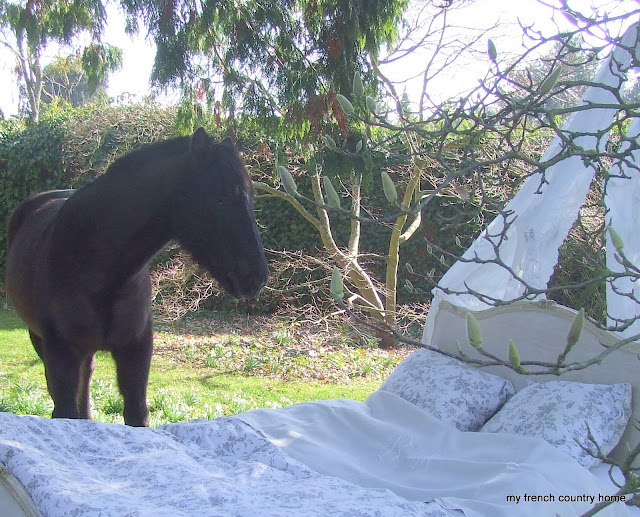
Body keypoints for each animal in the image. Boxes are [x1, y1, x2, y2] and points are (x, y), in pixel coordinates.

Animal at [5, 128, 269, 426]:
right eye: (221, 198)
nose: (257, 276)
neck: (100, 270)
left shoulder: (136, 353)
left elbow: (135, 414)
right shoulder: (62, 354)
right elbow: (66, 410)